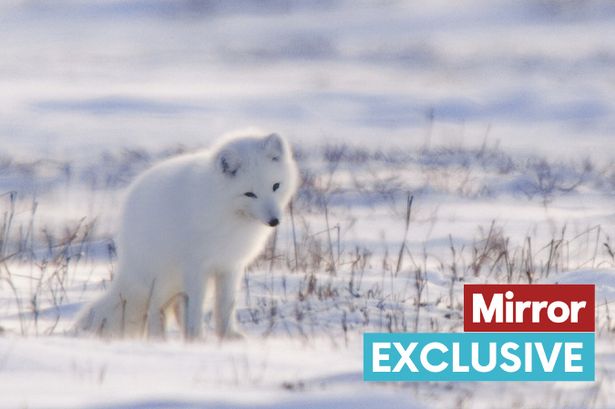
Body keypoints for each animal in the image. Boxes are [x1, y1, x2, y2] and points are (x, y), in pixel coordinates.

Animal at [77, 132, 298, 340]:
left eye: (276, 186)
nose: (274, 221)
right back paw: (159, 340)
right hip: (162, 278)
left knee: (174, 307)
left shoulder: (230, 266)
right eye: (250, 194)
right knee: (155, 309)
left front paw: (227, 337)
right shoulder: (195, 267)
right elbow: (195, 308)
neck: (227, 212)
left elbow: (225, 305)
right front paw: (196, 339)